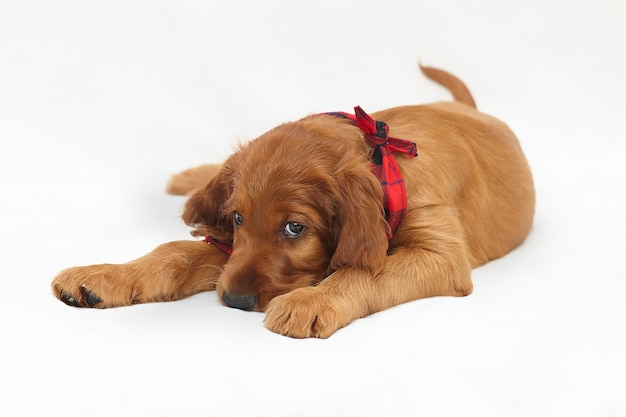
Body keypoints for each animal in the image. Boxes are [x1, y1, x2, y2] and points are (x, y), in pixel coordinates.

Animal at [51, 65, 532, 338]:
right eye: (237, 218)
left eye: (295, 227)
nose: (236, 301)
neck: (383, 158)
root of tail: (471, 108)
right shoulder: (232, 250)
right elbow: (176, 250)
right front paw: (103, 275)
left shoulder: (440, 254)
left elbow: (363, 270)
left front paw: (311, 302)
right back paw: (189, 179)